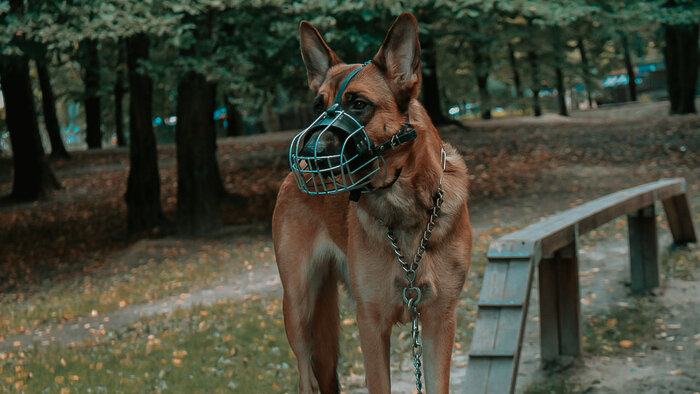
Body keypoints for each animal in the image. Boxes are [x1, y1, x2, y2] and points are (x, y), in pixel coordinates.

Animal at [270, 12, 474, 394]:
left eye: (359, 104)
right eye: (318, 107)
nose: (308, 153)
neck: (405, 211)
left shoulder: (439, 322)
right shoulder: (371, 323)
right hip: (299, 311)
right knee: (306, 376)